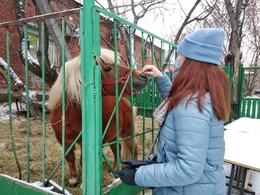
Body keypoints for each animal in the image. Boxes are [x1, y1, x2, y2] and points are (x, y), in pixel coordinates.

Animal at [47, 48, 148, 187]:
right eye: (107, 68)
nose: (143, 76)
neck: (70, 113)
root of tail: (126, 102)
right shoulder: (64, 140)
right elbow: (70, 158)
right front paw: (73, 179)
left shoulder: (84, 141)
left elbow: (82, 160)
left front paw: (83, 184)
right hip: (113, 136)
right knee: (117, 149)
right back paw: (115, 169)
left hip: (127, 134)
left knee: (134, 148)